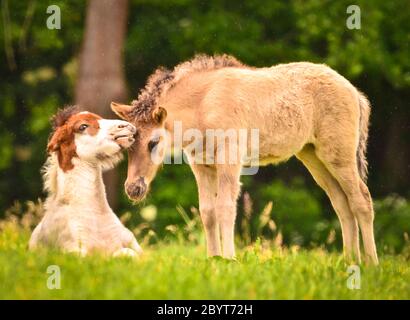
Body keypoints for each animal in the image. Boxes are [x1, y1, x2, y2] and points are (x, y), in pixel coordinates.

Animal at [111, 54, 378, 264]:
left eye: (153, 142)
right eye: (127, 144)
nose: (133, 189)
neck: (203, 104)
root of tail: (354, 91)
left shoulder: (230, 160)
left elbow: (226, 208)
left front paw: (230, 259)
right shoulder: (201, 165)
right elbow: (207, 212)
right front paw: (213, 259)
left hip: (338, 155)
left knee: (361, 199)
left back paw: (371, 264)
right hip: (313, 156)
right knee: (341, 202)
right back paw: (349, 261)